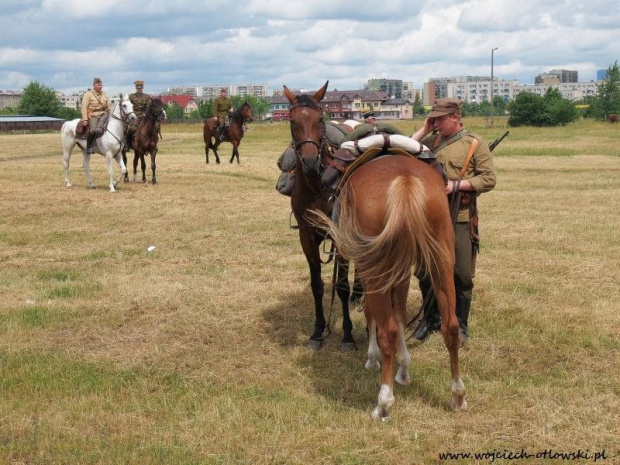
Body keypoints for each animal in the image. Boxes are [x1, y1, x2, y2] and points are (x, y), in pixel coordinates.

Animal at [284, 81, 356, 350]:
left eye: (320, 119)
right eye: (292, 120)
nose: (311, 162)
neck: (317, 186)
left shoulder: (342, 237)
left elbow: (342, 284)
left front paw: (347, 335)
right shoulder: (307, 236)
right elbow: (317, 285)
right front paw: (317, 331)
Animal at [308, 88, 468, 420]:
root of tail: (404, 180)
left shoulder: (371, 268)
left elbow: (376, 312)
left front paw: (374, 360)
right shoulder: (402, 268)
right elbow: (400, 309)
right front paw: (404, 369)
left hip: (376, 266)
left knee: (389, 331)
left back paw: (383, 401)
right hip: (440, 259)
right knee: (450, 326)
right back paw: (457, 394)